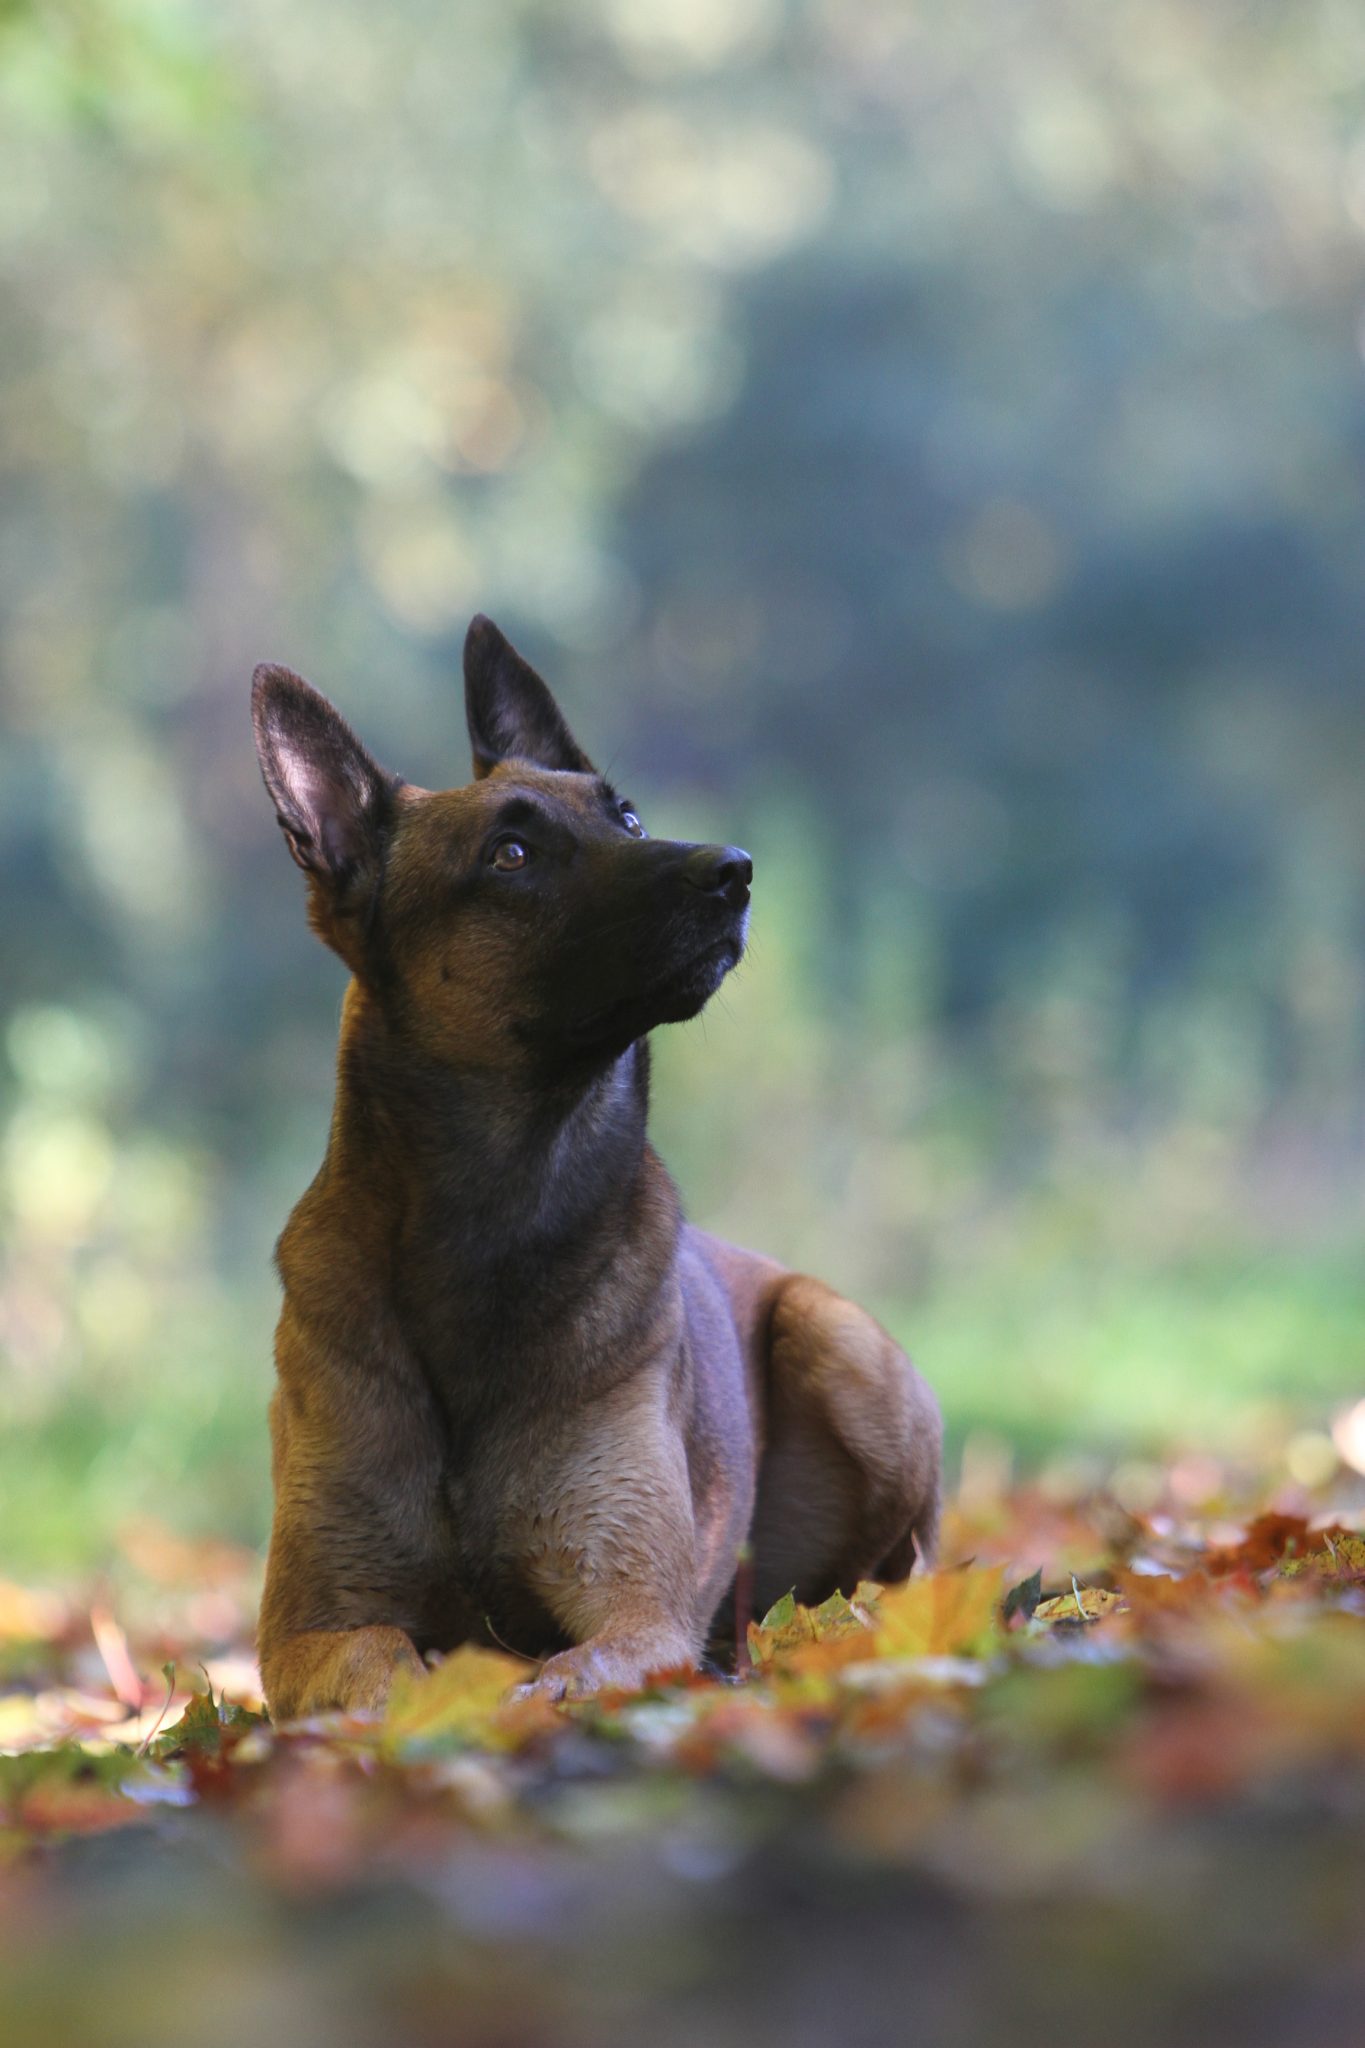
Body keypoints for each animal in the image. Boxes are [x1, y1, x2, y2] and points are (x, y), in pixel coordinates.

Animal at [250, 614, 945, 1720]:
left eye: (626, 813)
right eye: (512, 853)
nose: (734, 868)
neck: (491, 1220)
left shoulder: (631, 1611)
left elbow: (559, 1674)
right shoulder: (306, 1630)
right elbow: (384, 1664)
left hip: (838, 1346)